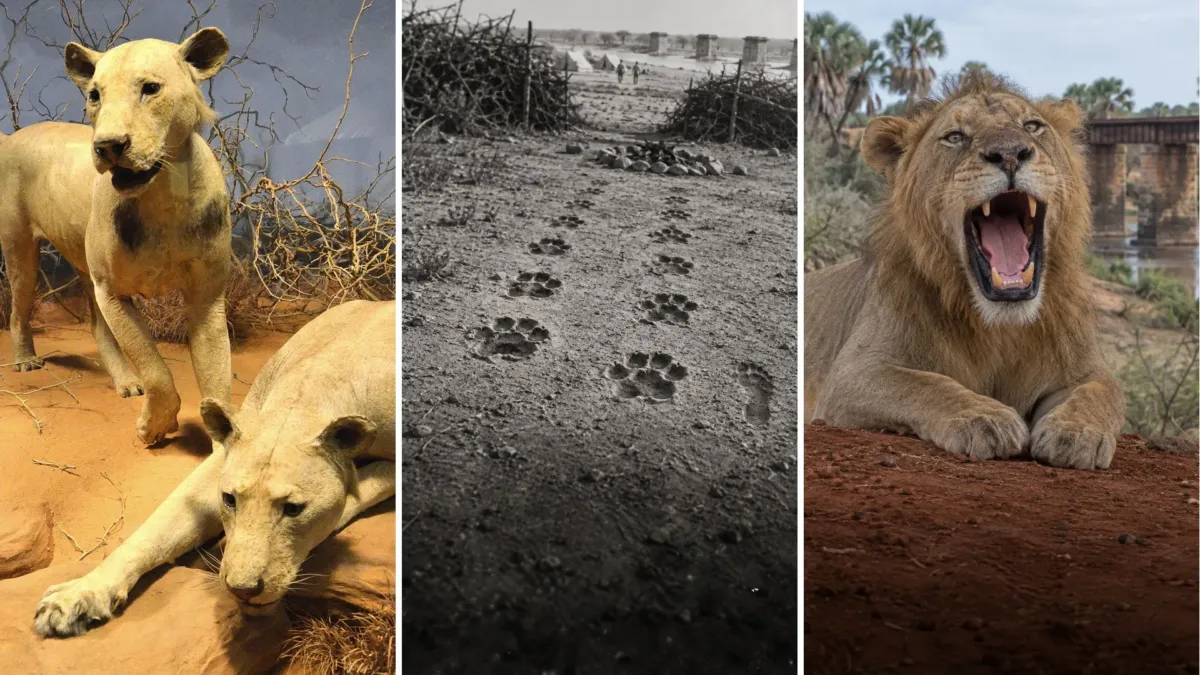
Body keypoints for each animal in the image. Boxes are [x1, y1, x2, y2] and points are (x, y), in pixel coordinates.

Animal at [0, 28, 232, 445]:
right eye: (95, 95)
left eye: (150, 88)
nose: (108, 145)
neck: (164, 199)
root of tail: (10, 136)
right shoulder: (112, 290)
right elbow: (155, 369)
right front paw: (154, 426)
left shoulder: (207, 296)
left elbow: (217, 374)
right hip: (22, 251)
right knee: (18, 308)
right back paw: (26, 360)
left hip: (84, 267)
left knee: (96, 326)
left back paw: (124, 381)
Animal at [34, 300, 396, 638]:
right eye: (230, 500)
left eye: (294, 509)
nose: (242, 590)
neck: (306, 397)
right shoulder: (219, 463)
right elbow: (156, 529)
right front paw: (75, 596)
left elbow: (356, 495)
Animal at [804, 72, 1124, 471]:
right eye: (955, 136)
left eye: (1032, 127)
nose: (1009, 154)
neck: (1001, 326)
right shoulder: (852, 374)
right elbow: (925, 384)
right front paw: (985, 419)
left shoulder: (1085, 369)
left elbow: (1098, 393)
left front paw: (1076, 432)